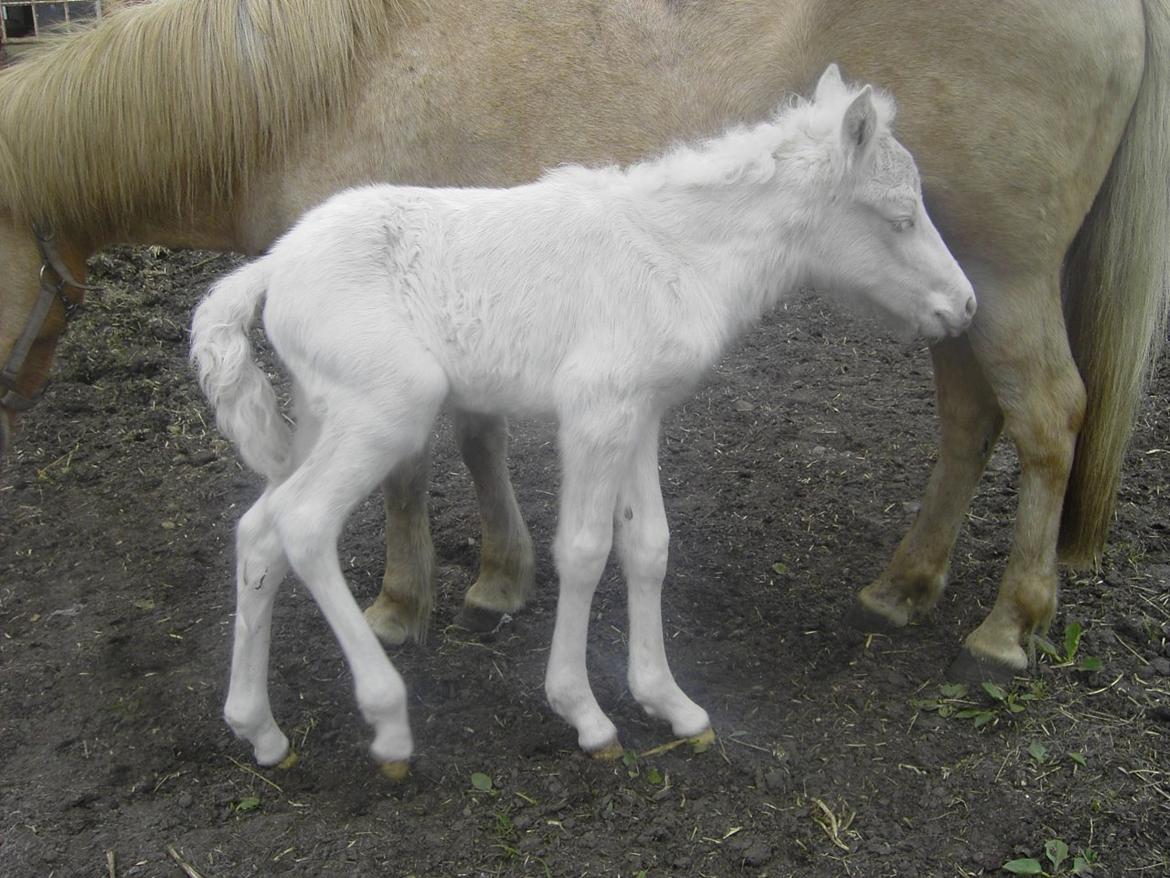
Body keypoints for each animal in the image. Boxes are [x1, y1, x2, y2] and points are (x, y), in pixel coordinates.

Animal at [0, 0, 1165, 683]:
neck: (310, 87)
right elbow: (479, 438)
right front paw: (501, 577)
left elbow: (413, 475)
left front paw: (402, 603)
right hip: (953, 298)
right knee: (972, 415)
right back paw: (907, 583)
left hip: (1000, 277)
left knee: (1048, 417)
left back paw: (1011, 621)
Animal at [191, 65, 973, 772]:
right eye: (900, 217)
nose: (963, 306)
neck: (678, 252)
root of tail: (273, 266)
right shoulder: (597, 411)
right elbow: (586, 549)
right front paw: (585, 714)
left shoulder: (640, 412)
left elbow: (648, 545)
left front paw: (670, 702)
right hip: (387, 411)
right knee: (303, 522)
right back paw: (387, 725)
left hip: (324, 414)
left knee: (259, 531)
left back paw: (260, 731)